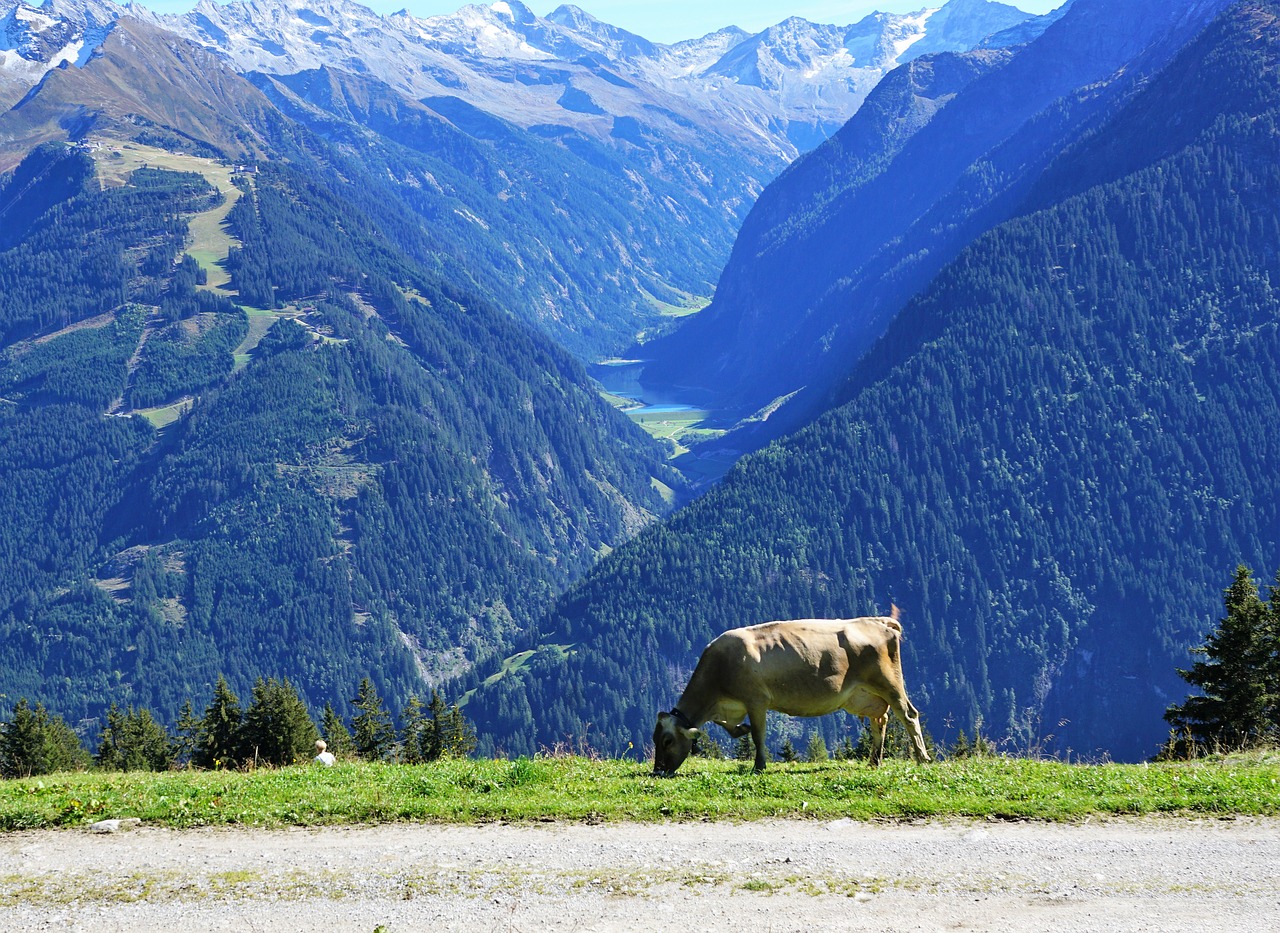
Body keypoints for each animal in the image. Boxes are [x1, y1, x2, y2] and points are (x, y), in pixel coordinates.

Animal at [655, 611, 926, 773]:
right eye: (655, 739)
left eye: (668, 741)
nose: (657, 771)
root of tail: (878, 621)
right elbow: (731, 728)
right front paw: (741, 730)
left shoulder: (756, 701)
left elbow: (758, 736)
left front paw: (759, 766)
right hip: (862, 696)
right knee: (880, 720)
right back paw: (874, 761)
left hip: (889, 683)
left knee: (908, 715)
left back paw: (922, 758)